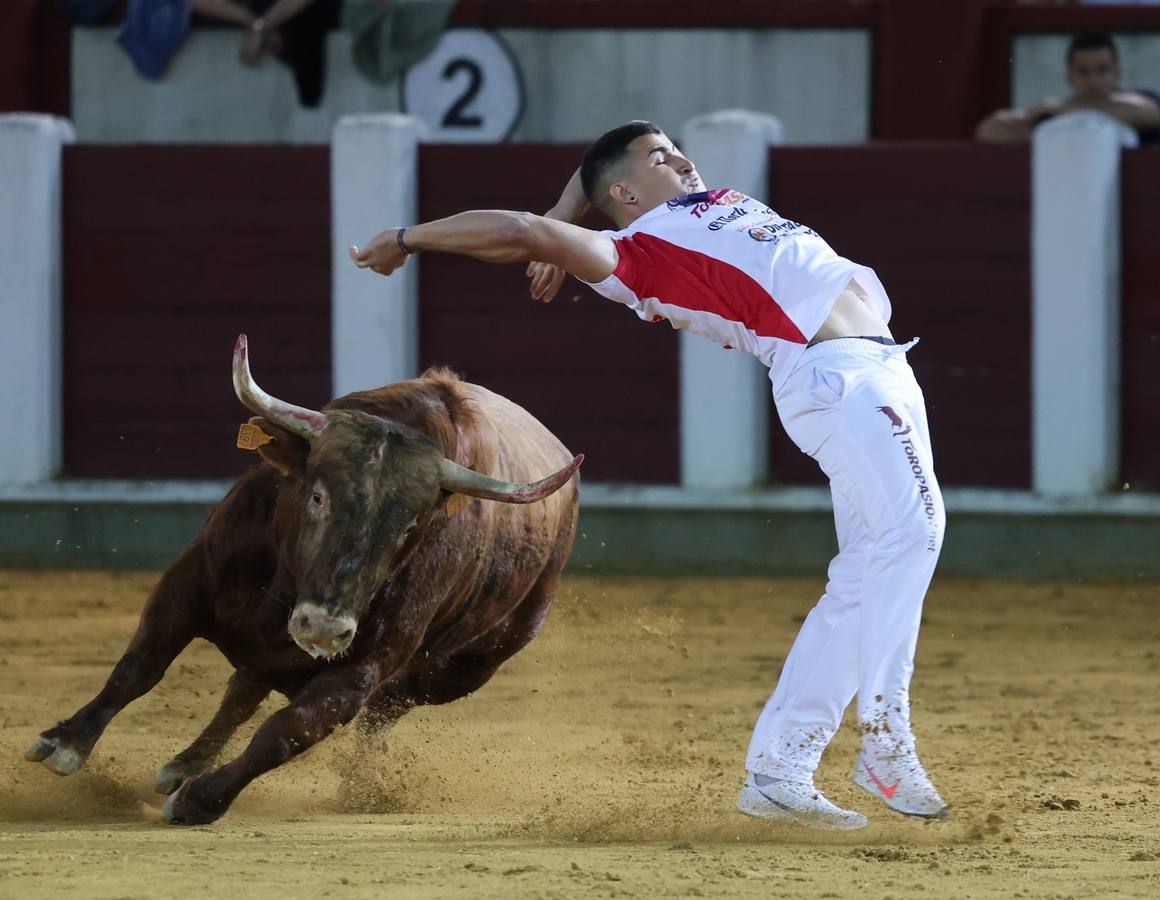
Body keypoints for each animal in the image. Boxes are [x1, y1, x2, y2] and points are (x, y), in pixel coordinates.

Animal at [27, 336, 584, 821]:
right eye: (318, 496)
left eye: (409, 527)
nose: (324, 628)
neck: (286, 592)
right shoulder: (188, 582)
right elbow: (141, 665)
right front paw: (65, 744)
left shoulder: (359, 671)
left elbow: (287, 732)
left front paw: (199, 802)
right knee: (243, 689)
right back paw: (184, 765)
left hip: (467, 669)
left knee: (380, 713)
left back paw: (358, 786)